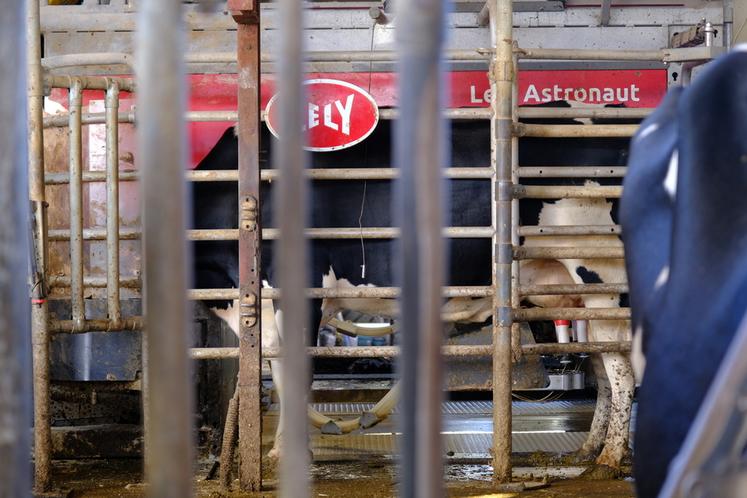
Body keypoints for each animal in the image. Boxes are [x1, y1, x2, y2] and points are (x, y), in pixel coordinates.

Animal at [193, 103, 636, 468]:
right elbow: (283, 373)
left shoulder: (299, 287)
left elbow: (297, 375)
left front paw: (289, 452)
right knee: (603, 370)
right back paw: (589, 450)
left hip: (603, 278)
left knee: (623, 375)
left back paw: (611, 458)